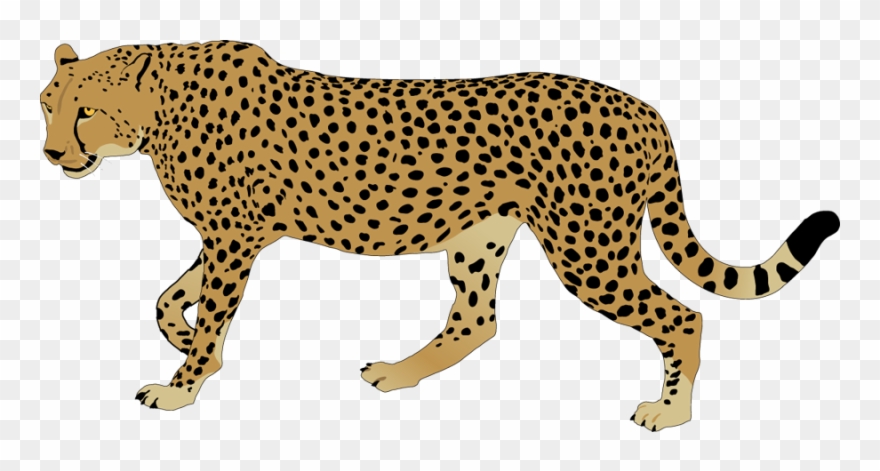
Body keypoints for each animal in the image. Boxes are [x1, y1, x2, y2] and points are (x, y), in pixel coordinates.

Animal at [40, 41, 839, 431]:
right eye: (48, 104)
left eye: (85, 112)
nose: (50, 154)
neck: (159, 106)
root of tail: (645, 108)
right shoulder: (233, 234)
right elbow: (170, 298)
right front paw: (182, 339)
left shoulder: (235, 235)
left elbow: (208, 311)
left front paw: (182, 384)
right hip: (481, 235)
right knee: (476, 320)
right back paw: (397, 373)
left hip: (589, 249)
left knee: (682, 315)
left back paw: (671, 411)